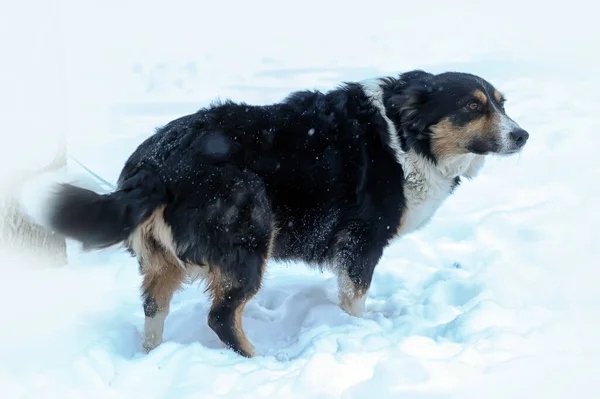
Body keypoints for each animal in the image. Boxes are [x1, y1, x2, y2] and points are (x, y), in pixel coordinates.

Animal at [47, 70, 528, 358]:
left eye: (502, 103)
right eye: (472, 106)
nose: (522, 135)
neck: (403, 135)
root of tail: (154, 164)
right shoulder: (362, 240)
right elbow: (355, 298)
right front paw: (359, 330)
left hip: (162, 262)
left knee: (153, 310)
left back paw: (155, 356)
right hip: (249, 236)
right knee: (221, 317)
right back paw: (257, 362)